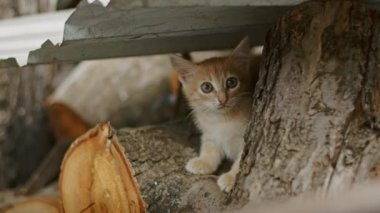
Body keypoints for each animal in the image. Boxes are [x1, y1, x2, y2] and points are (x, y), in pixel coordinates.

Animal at [171, 37, 260, 192]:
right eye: (206, 87)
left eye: (231, 82)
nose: (222, 99)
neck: (222, 119)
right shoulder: (209, 132)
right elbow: (209, 145)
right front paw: (203, 161)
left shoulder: (246, 138)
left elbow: (241, 161)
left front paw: (231, 178)